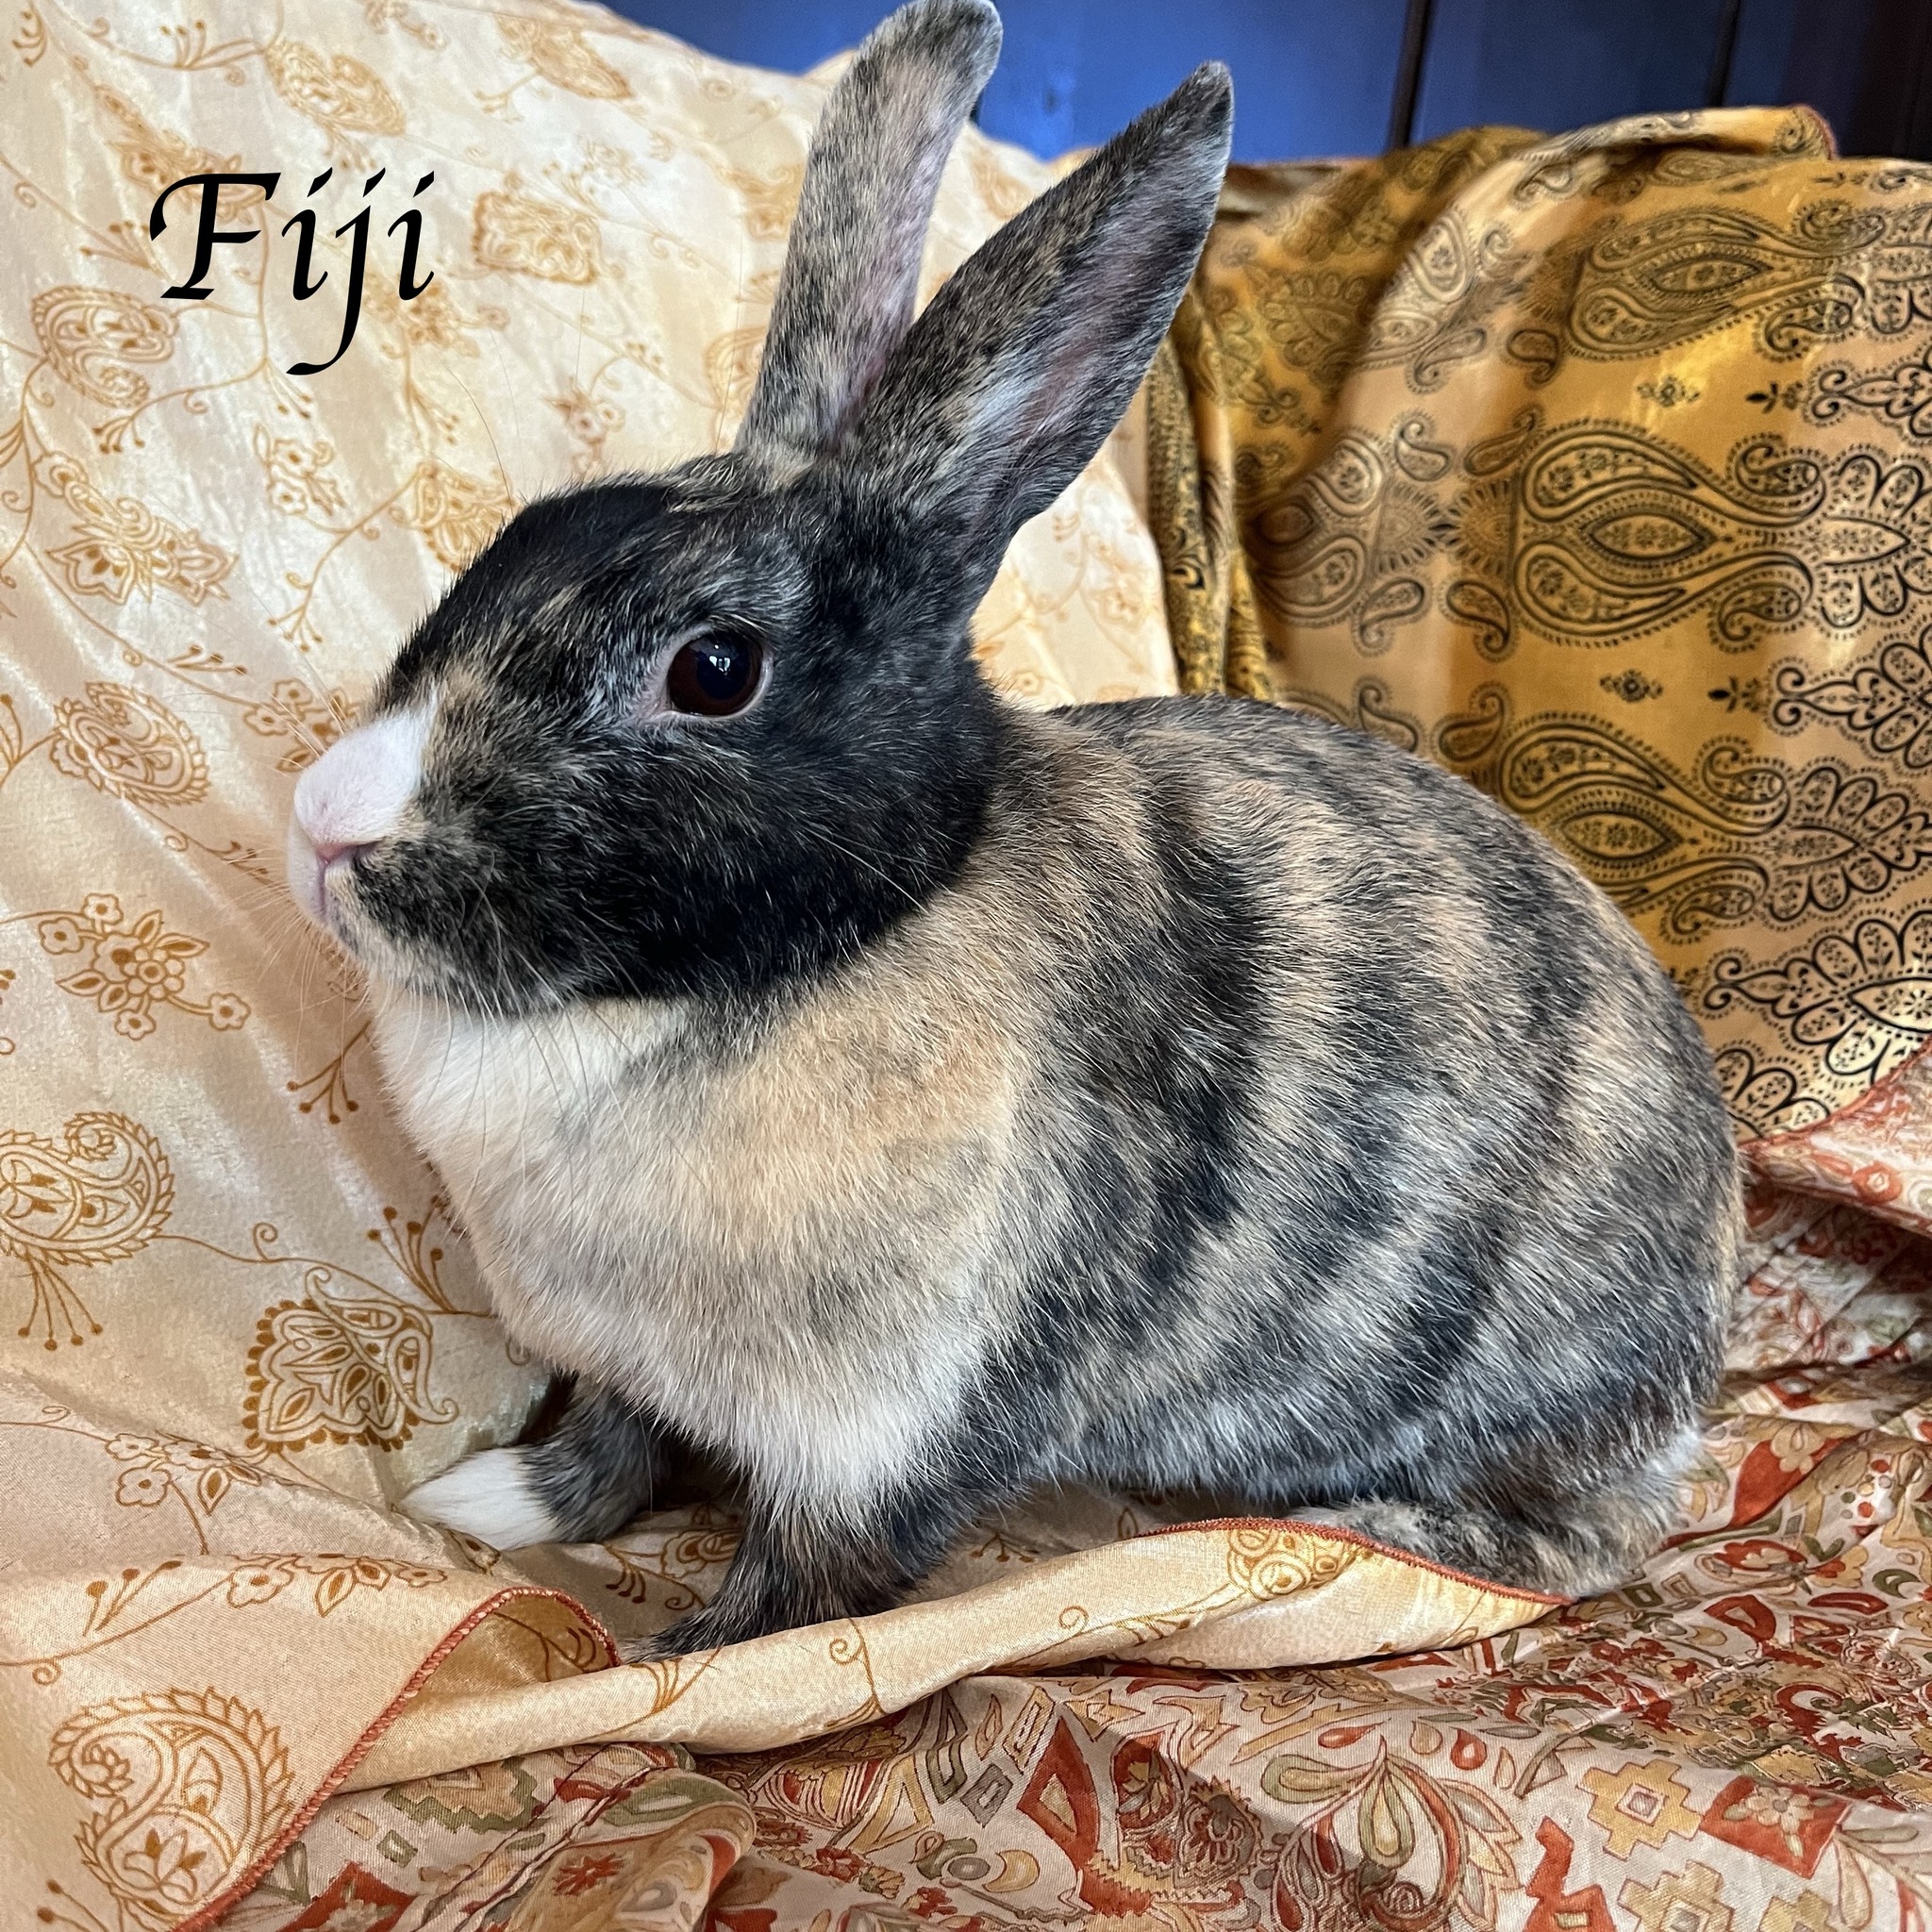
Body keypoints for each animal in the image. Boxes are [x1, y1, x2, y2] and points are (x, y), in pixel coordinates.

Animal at [286, 0, 1742, 1661]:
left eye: (712, 670)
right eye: (519, 537)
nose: (325, 826)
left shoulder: (884, 1437)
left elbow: (803, 1596)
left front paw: (668, 1662)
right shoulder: (619, 1362)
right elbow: (608, 1445)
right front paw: (488, 1506)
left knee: (1578, 1545)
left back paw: (1367, 1535)